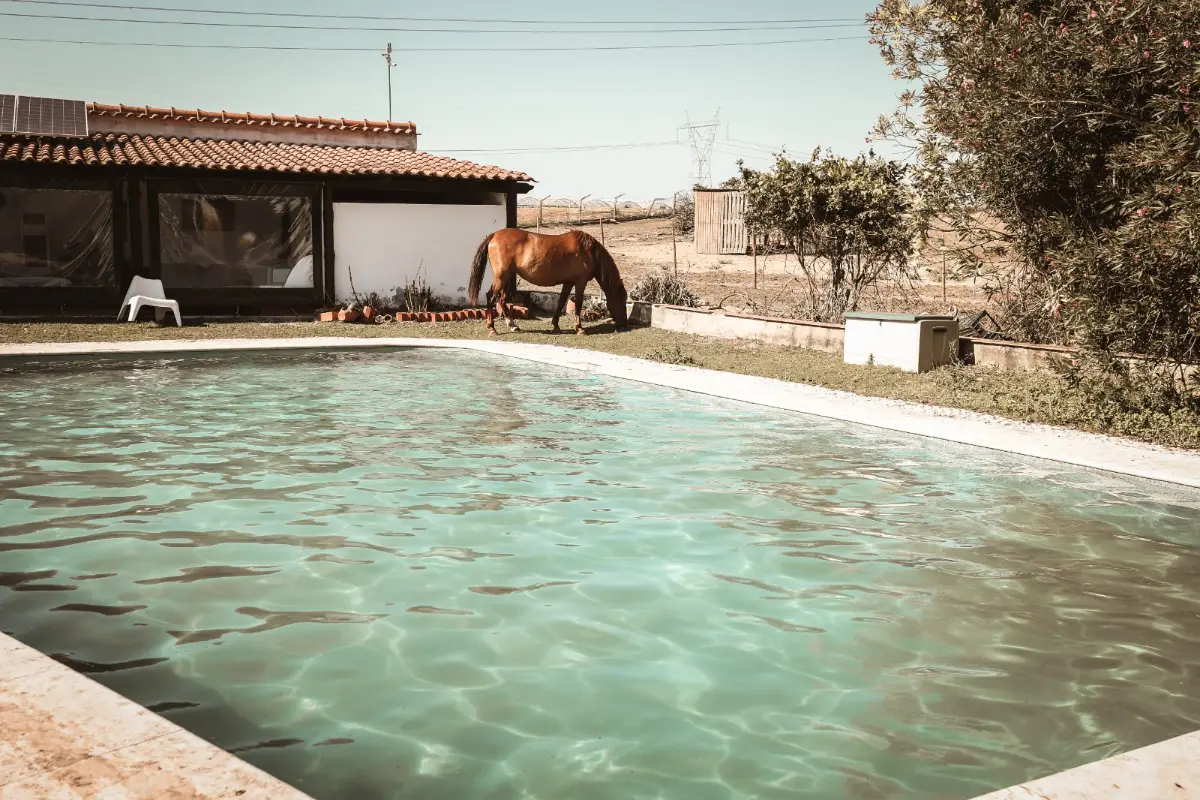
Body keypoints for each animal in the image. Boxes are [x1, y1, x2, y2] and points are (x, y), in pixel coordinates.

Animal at [468, 228, 629, 336]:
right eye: (621, 300)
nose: (624, 324)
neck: (589, 251)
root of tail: (494, 235)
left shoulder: (568, 282)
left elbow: (561, 301)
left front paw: (556, 325)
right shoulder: (580, 282)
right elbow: (578, 304)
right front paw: (580, 328)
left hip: (508, 276)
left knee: (501, 299)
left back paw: (513, 325)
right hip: (502, 276)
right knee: (491, 297)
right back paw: (492, 328)